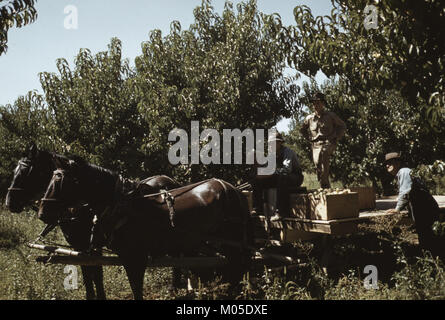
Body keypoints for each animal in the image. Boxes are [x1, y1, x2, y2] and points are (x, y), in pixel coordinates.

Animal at [39, 156, 253, 298]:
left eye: (59, 180)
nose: (42, 213)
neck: (122, 206)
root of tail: (234, 190)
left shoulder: (135, 258)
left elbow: (136, 290)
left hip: (232, 243)